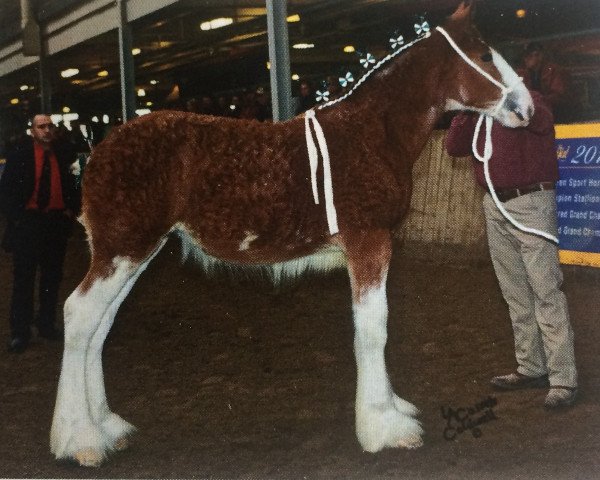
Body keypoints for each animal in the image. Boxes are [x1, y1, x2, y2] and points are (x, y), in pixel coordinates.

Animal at [49, 1, 532, 466]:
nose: (526, 108)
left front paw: (392, 411)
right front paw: (384, 427)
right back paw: (79, 440)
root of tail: (97, 149)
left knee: (100, 325)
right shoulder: (369, 243)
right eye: (485, 55)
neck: (370, 133)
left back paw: (106, 426)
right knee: (79, 315)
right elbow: (373, 329)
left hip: (134, 252)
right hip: (123, 250)